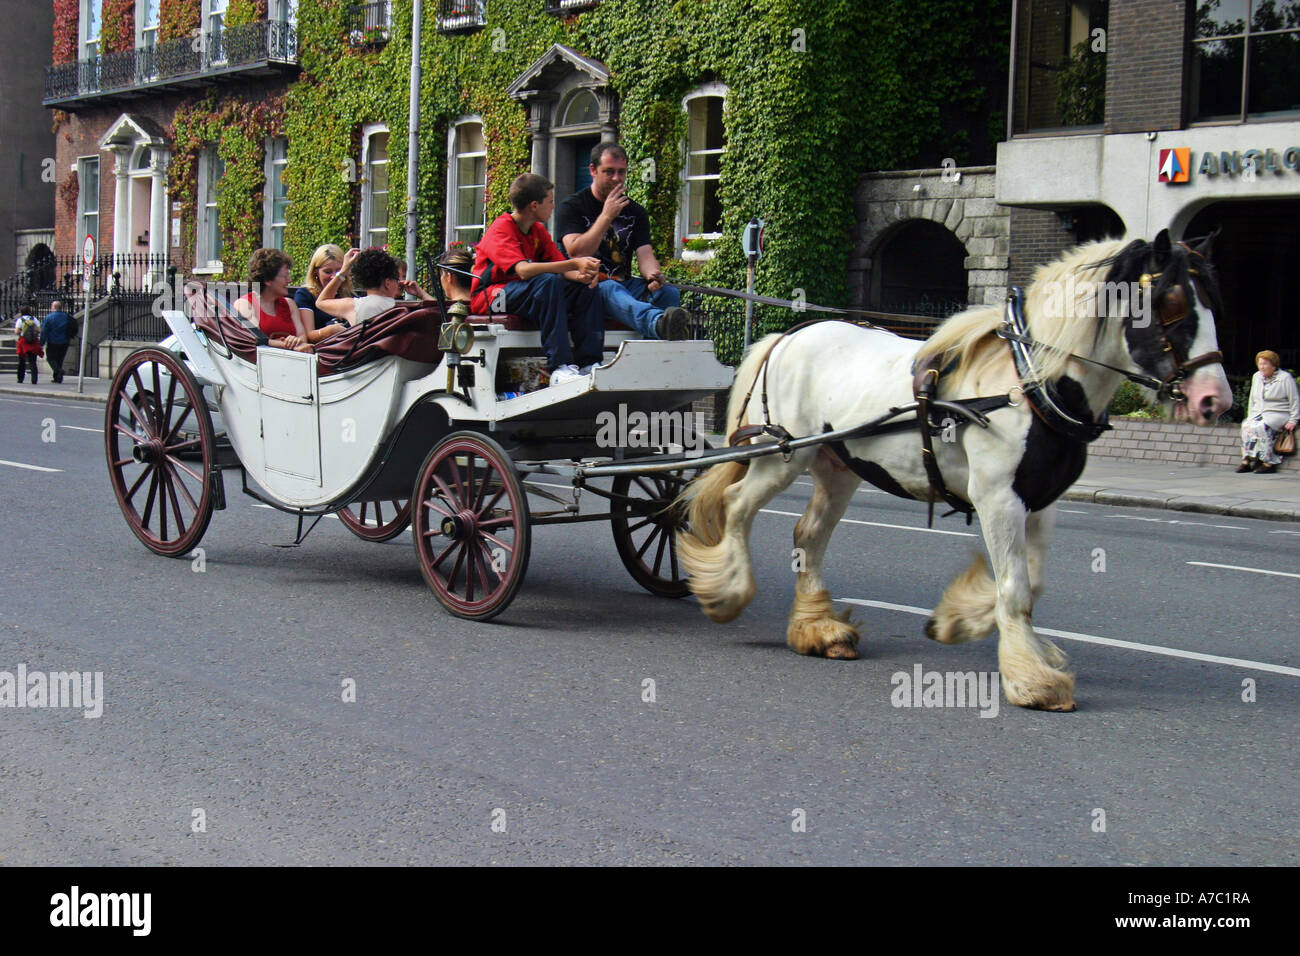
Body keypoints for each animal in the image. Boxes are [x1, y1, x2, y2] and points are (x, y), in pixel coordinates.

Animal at [676, 231, 1232, 712]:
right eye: (1173, 302)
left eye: (1214, 302)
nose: (1216, 400)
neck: (1029, 381)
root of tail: (786, 337)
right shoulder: (998, 498)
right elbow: (1016, 586)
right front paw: (1032, 679)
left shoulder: (1040, 501)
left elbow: (1029, 581)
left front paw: (964, 621)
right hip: (782, 456)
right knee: (737, 508)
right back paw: (727, 592)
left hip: (838, 466)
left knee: (807, 536)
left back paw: (818, 629)